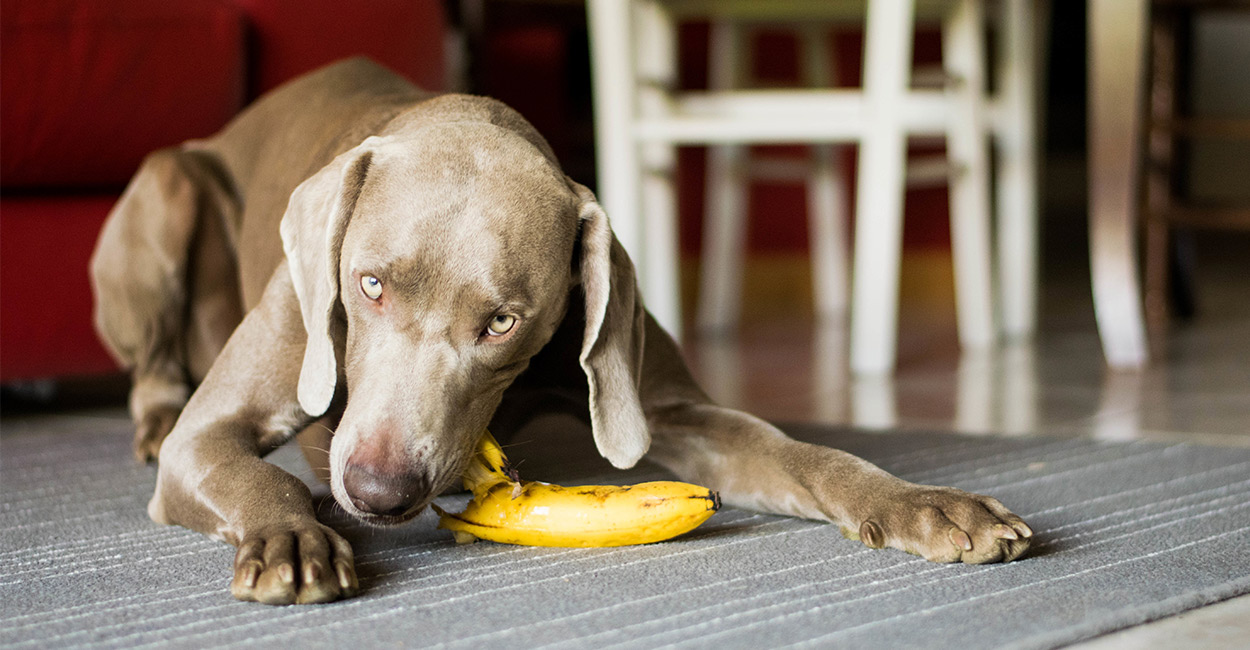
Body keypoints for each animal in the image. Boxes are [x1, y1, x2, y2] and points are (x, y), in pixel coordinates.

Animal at [88, 58, 1030, 607]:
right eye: (369, 284)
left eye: (502, 323)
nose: (379, 492)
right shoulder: (213, 434)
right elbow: (252, 472)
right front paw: (293, 537)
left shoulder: (666, 400)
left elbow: (803, 453)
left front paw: (921, 504)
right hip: (168, 188)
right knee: (155, 368)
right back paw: (153, 421)